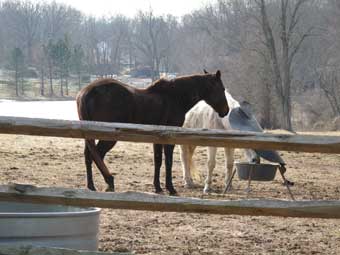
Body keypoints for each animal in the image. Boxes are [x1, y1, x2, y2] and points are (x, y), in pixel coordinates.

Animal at [76, 69, 230, 193]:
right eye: (222, 88)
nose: (226, 110)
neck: (175, 97)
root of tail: (86, 93)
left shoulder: (157, 138)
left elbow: (158, 160)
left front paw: (158, 187)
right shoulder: (169, 138)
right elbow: (167, 161)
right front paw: (170, 188)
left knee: (89, 156)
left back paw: (91, 186)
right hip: (108, 137)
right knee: (97, 155)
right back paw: (109, 182)